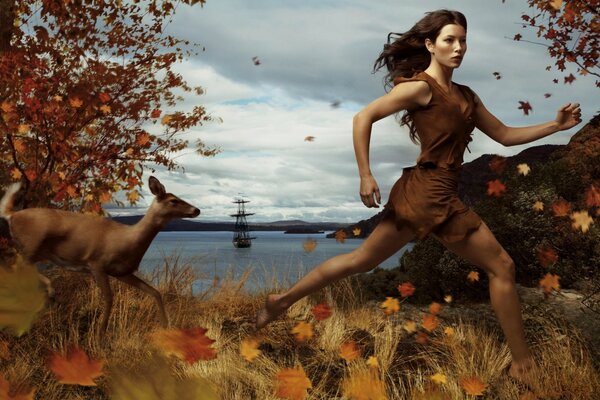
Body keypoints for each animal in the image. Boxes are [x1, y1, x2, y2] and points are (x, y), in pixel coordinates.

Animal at [0, 177, 202, 336]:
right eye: (173, 200)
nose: (197, 210)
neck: (128, 239)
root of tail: (11, 215)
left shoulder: (122, 272)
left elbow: (154, 292)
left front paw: (166, 326)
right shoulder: (96, 264)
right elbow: (109, 298)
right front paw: (100, 336)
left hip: (35, 252)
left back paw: (47, 295)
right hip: (31, 246)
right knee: (14, 269)